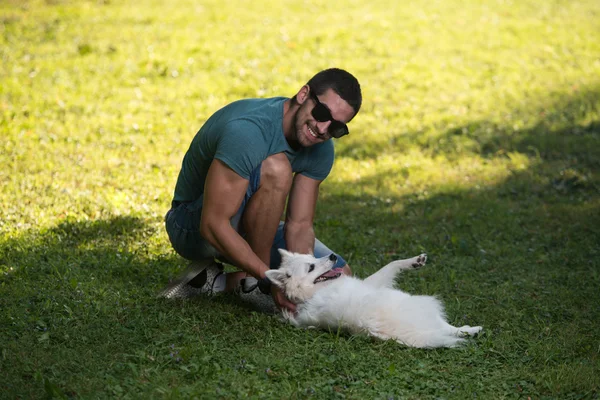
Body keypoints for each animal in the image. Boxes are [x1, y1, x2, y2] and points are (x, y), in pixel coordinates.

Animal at [268, 250, 482, 346]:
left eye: (312, 256)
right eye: (311, 267)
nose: (333, 256)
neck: (311, 293)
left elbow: (391, 264)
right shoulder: (372, 284)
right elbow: (391, 265)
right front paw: (412, 262)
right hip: (413, 302)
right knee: (449, 328)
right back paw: (471, 330)